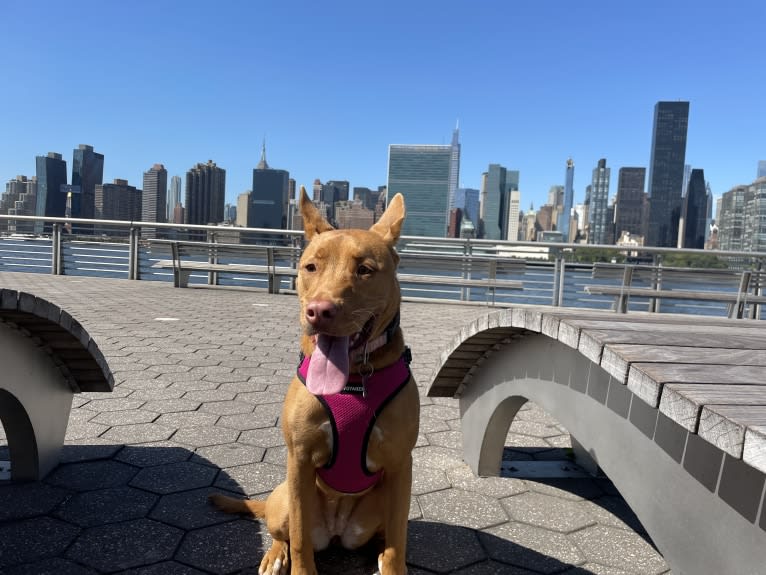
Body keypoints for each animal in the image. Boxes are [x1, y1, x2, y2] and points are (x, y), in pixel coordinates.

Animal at [212, 190, 420, 575]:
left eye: (364, 270)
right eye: (311, 267)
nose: (320, 311)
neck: (354, 379)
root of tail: (337, 532)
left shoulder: (401, 465)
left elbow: (398, 543)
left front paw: (393, 565)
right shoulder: (299, 460)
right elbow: (300, 539)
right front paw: (297, 564)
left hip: (382, 498)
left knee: (385, 536)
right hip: (284, 496)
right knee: (284, 532)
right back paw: (274, 555)